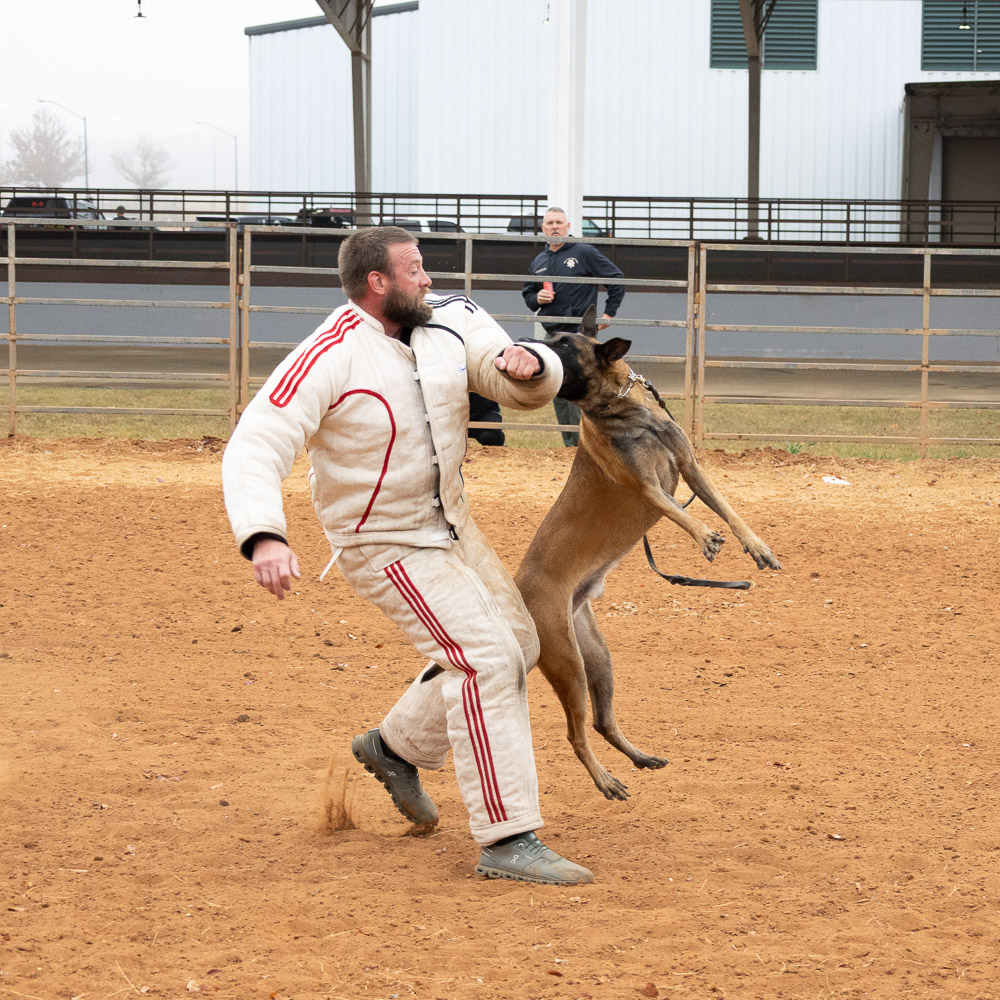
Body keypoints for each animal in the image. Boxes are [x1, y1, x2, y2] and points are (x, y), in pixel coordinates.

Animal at [514, 306, 781, 801]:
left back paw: (640, 758)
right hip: (568, 663)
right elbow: (679, 513)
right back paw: (606, 781)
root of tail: (518, 591)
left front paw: (756, 546)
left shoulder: (691, 468)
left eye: (564, 343)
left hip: (596, 658)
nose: (521, 343)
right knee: (576, 733)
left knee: (602, 722)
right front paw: (703, 536)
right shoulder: (648, 487)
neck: (623, 411)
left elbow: (728, 508)